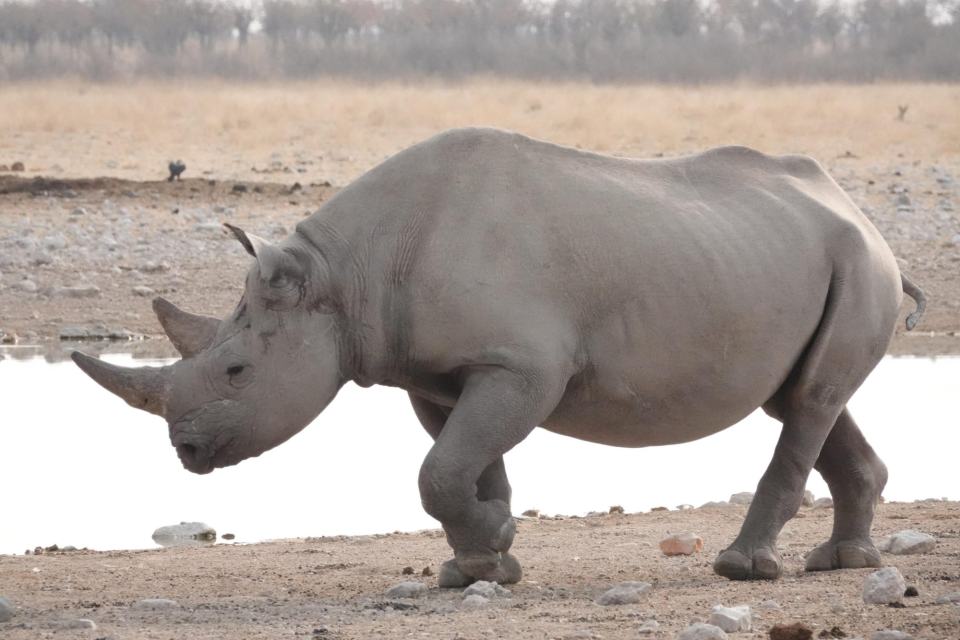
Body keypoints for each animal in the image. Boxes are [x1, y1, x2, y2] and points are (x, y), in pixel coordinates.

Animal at [73, 128, 926, 585]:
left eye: (237, 371)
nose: (185, 451)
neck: (343, 276)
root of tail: (860, 213)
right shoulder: (440, 374)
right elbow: (460, 466)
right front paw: (482, 564)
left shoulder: (521, 365)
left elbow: (441, 470)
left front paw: (495, 543)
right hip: (803, 256)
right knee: (807, 400)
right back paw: (843, 563)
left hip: (857, 259)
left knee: (807, 404)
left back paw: (742, 569)